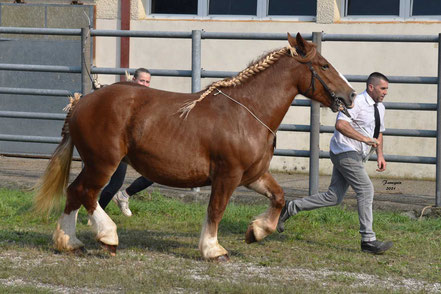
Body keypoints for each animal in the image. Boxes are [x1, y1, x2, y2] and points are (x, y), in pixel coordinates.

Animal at [36, 33, 356, 260]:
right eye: (324, 65)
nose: (350, 95)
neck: (247, 113)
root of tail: (81, 103)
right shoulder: (227, 176)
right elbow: (216, 210)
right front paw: (213, 249)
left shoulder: (253, 175)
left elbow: (278, 197)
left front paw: (256, 231)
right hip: (104, 163)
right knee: (87, 193)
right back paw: (107, 237)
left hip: (95, 163)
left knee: (74, 192)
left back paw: (69, 242)